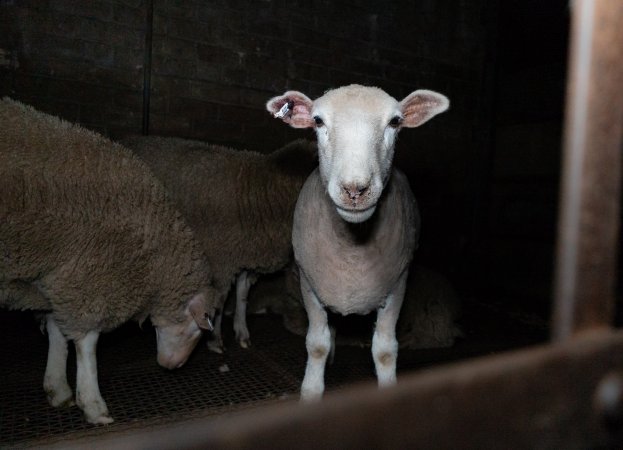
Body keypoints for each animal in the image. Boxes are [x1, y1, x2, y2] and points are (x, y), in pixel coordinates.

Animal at [0, 96, 219, 424]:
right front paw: (93, 404)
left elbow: (57, 330)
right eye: (196, 327)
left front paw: (58, 387)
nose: (175, 367)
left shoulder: (61, 275)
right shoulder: (92, 275)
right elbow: (87, 342)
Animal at [120, 135, 320, 350]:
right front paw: (215, 338)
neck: (256, 194)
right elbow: (220, 300)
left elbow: (242, 295)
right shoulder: (220, 261)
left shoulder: (244, 256)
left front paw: (242, 332)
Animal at [266, 82, 450, 400]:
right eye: (317, 121)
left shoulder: (397, 283)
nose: (355, 190)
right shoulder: (310, 284)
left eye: (395, 122)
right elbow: (317, 343)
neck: (352, 250)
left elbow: (385, 350)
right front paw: (311, 390)